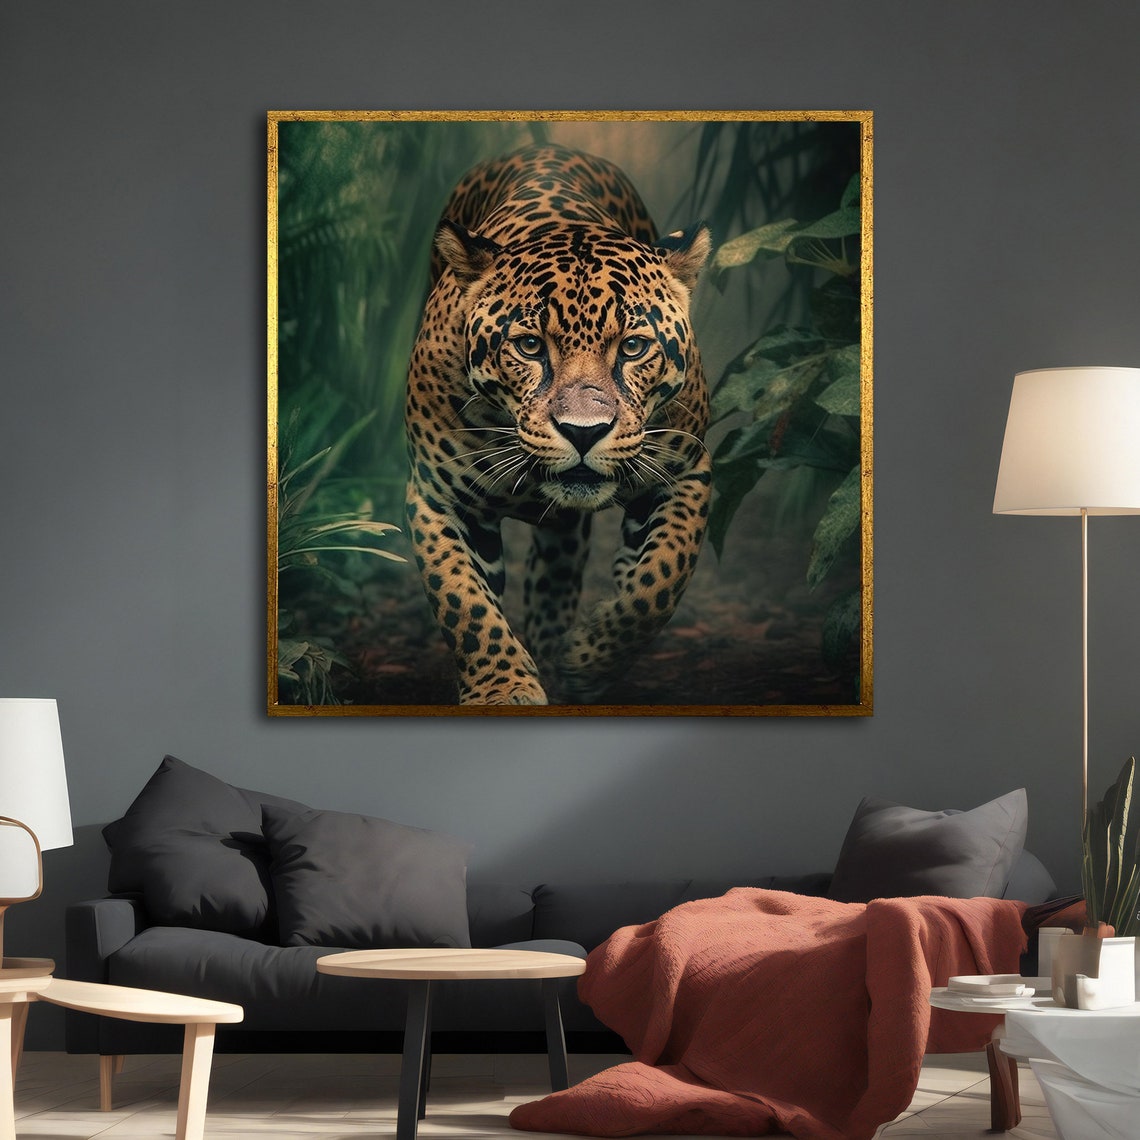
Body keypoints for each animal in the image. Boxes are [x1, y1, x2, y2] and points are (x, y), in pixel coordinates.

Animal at [404, 143, 712, 705]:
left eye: (632, 347)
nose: (583, 432)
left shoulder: (687, 472)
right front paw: (502, 688)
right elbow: (464, 603)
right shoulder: (438, 496)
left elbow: (659, 580)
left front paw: (588, 659)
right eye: (529, 346)